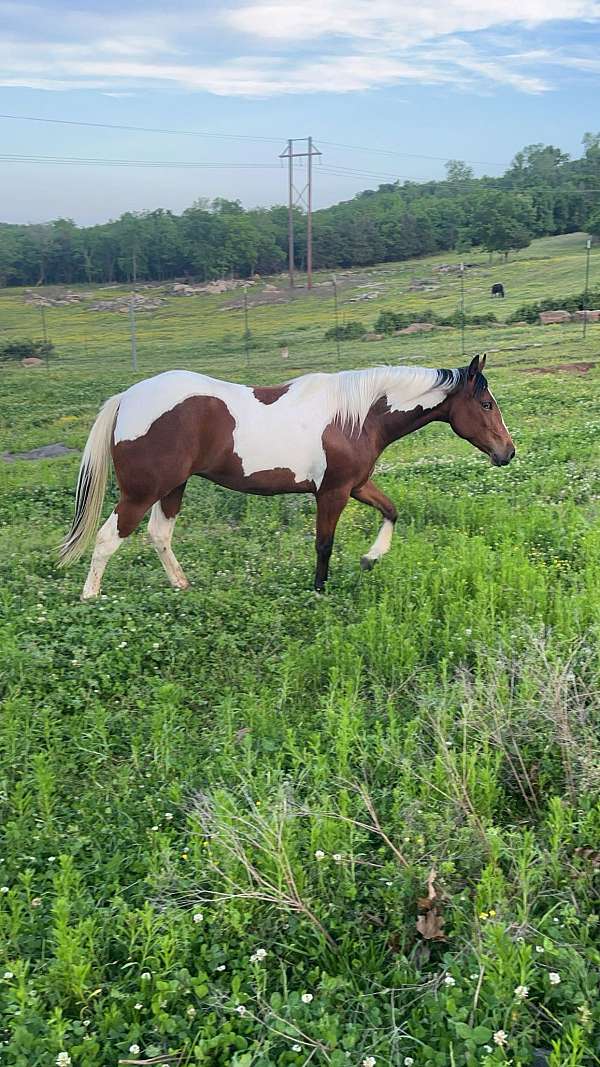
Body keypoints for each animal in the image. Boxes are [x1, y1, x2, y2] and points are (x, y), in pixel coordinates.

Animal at [58, 354, 512, 597]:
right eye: (486, 403)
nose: (508, 452)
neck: (359, 416)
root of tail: (127, 398)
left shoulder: (356, 485)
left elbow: (392, 511)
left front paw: (370, 558)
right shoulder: (333, 492)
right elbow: (324, 544)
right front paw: (319, 589)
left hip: (172, 487)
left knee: (159, 535)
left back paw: (182, 586)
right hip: (141, 492)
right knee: (107, 539)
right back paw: (90, 598)